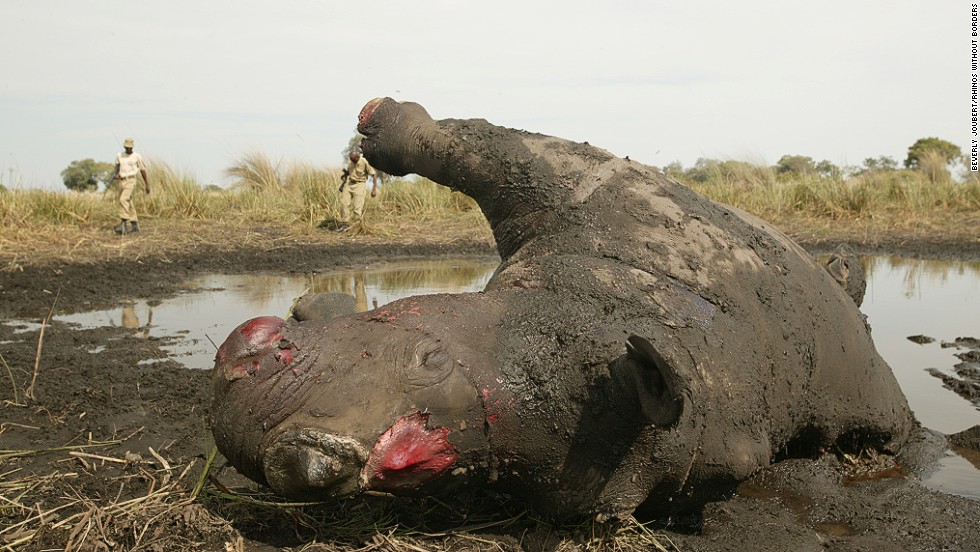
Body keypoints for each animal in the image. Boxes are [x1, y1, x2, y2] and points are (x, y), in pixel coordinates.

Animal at [211, 99, 916, 520]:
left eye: (429, 360)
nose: (293, 456)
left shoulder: (572, 176)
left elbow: (472, 142)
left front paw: (376, 120)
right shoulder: (574, 193)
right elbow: (468, 146)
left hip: (879, 398)